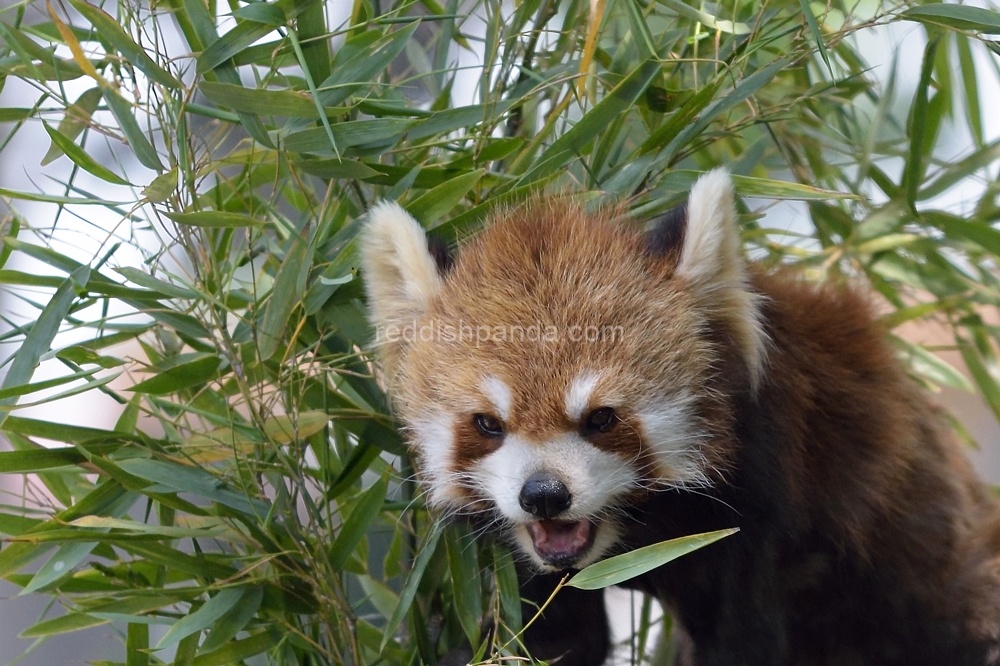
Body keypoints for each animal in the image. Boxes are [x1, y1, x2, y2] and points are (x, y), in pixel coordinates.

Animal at [362, 169, 1000, 660]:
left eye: (601, 418)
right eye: (489, 424)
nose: (543, 495)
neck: (641, 530)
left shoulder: (757, 516)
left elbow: (740, 641)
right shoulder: (538, 564)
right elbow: (557, 641)